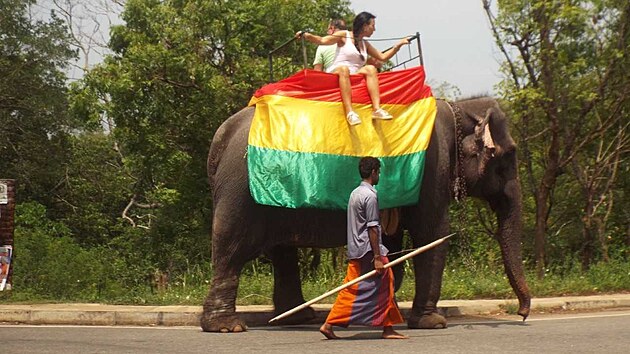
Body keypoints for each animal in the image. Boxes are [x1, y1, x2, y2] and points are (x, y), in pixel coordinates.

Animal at [202, 96, 532, 332]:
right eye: (507, 157)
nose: (523, 314)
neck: (459, 107)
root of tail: (221, 136)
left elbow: (392, 242)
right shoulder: (433, 168)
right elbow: (432, 235)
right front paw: (432, 323)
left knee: (282, 253)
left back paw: (297, 318)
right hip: (241, 195)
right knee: (232, 249)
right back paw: (227, 327)